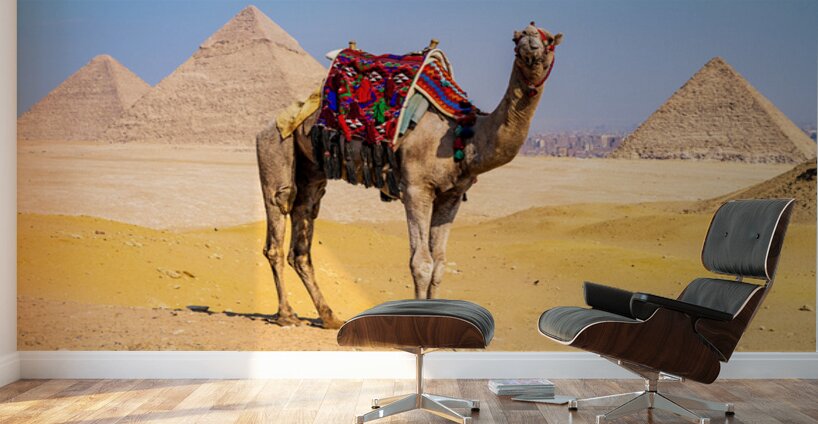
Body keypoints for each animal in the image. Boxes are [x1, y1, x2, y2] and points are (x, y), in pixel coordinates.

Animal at [256, 23, 562, 329]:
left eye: (549, 39)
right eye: (516, 37)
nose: (530, 46)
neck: (463, 135)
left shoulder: (451, 197)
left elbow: (439, 264)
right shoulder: (416, 188)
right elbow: (421, 263)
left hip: (312, 170)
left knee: (302, 236)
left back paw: (329, 317)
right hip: (275, 146)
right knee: (277, 219)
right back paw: (286, 314)